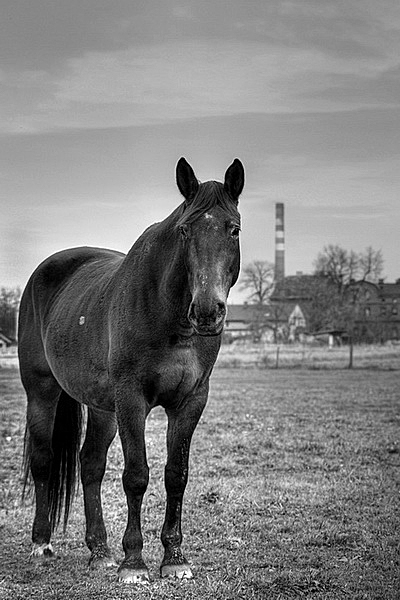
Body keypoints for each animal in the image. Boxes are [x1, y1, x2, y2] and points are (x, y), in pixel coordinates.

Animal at [18, 157, 244, 584]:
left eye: (234, 229)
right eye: (185, 230)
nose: (208, 311)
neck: (171, 318)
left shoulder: (190, 402)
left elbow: (176, 474)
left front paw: (174, 558)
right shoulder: (132, 400)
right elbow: (136, 475)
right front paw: (134, 562)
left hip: (102, 407)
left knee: (90, 465)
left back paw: (99, 551)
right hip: (42, 391)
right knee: (43, 459)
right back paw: (42, 543)